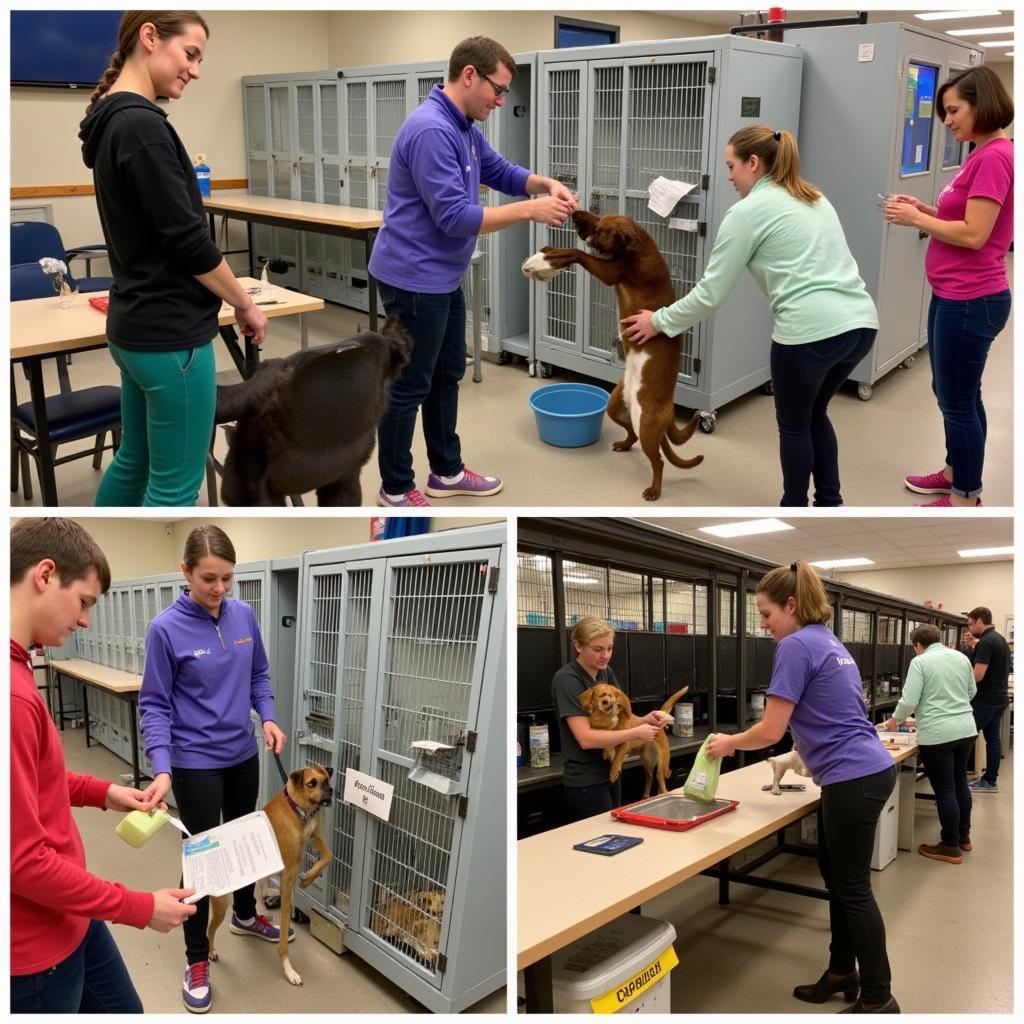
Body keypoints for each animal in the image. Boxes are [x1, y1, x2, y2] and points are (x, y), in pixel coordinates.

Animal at [206, 765, 331, 987]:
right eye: (312, 783)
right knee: (209, 931)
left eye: (326, 779)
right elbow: (283, 933)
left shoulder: (312, 837)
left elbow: (328, 855)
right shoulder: (287, 878)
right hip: (221, 904)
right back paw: (211, 952)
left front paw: (309, 878)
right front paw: (289, 970)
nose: (331, 791)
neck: (295, 808)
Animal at [524, 209, 700, 497]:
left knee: (658, 461)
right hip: (616, 407)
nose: (575, 213)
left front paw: (552, 255)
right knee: (633, 435)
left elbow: (578, 252)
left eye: (601, 229)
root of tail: (669, 411)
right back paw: (624, 445)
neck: (640, 248)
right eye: (598, 218)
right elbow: (574, 251)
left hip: (645, 421)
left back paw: (654, 489)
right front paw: (549, 252)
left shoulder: (609, 272)